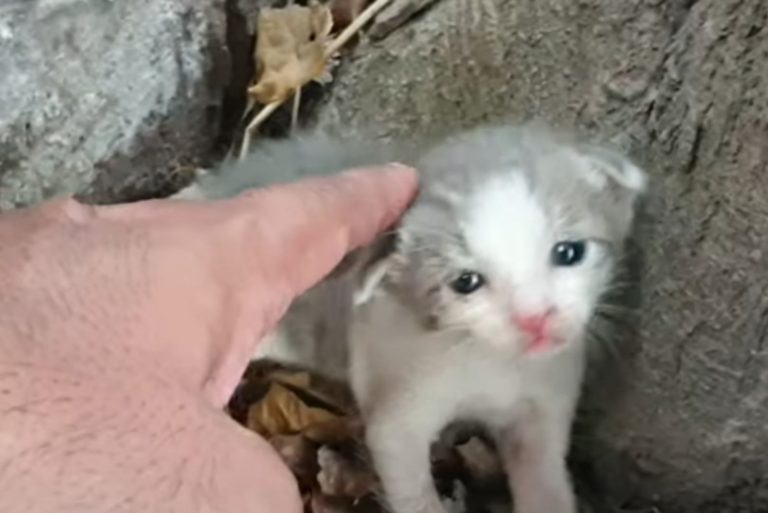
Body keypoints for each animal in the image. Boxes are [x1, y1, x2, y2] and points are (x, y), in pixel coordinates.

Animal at [176, 123, 648, 512]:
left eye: (569, 252)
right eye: (466, 282)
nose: (536, 319)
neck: (494, 363)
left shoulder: (542, 411)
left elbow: (545, 487)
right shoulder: (400, 412)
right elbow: (411, 488)